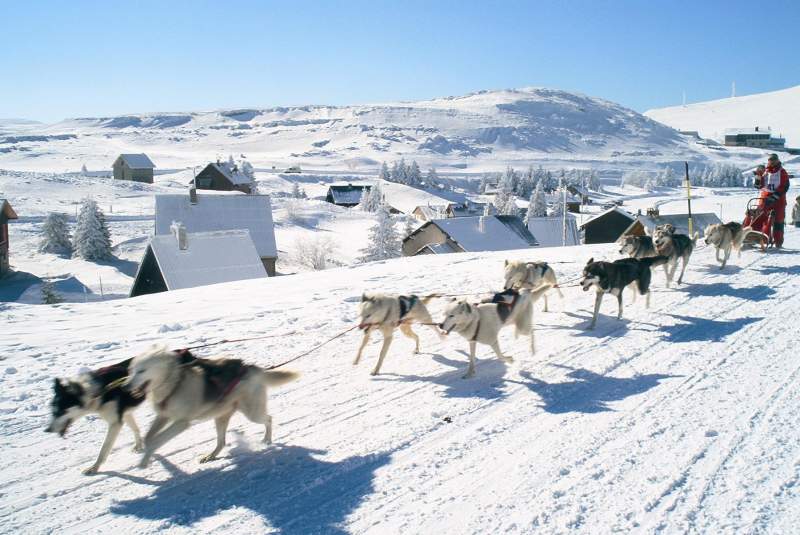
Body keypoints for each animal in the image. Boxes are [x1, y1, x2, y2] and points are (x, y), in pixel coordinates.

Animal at [128, 348, 296, 468]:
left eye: (141, 371)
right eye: (131, 371)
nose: (126, 385)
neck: (174, 384)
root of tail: (250, 368)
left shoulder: (181, 423)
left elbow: (157, 440)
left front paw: (146, 456)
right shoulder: (163, 416)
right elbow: (149, 436)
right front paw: (145, 455)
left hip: (252, 413)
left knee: (269, 419)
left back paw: (267, 439)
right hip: (221, 417)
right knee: (221, 442)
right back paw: (211, 455)